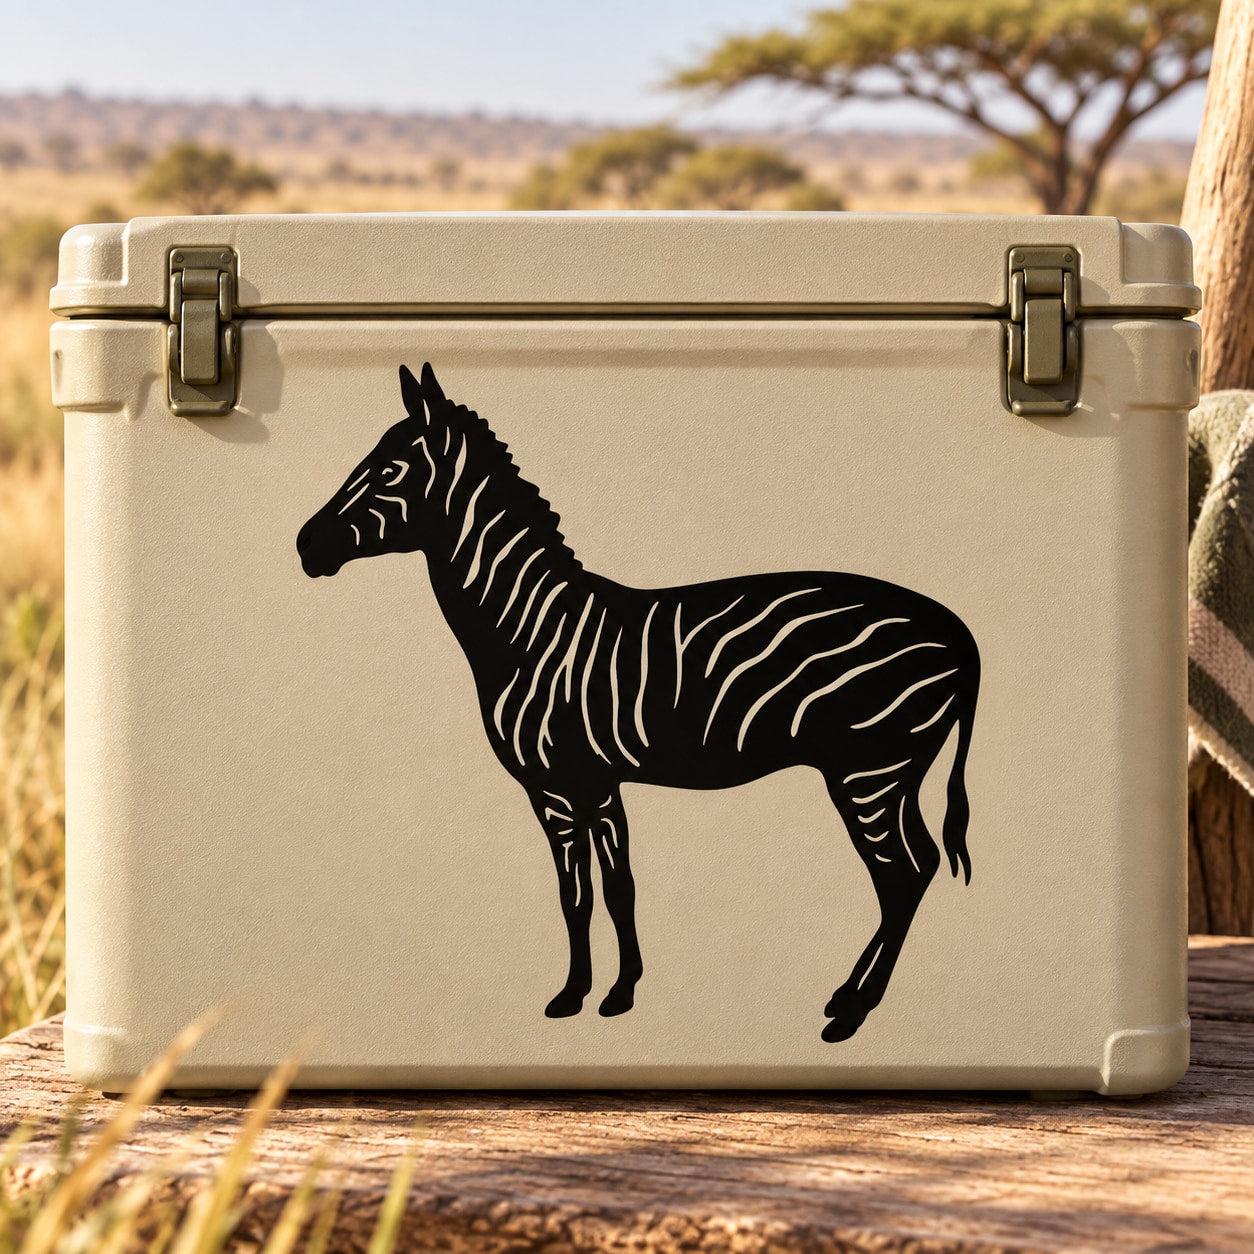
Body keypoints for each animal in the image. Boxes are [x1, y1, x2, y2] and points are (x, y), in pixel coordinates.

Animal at [296, 363, 980, 1042]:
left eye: (389, 469)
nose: (305, 546)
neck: (527, 631)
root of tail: (958, 629)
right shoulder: (574, 787)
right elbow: (589, 892)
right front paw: (590, 993)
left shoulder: (576, 783)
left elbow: (601, 889)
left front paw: (602, 994)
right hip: (888, 772)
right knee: (911, 870)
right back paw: (846, 996)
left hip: (870, 769)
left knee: (902, 872)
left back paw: (854, 1013)